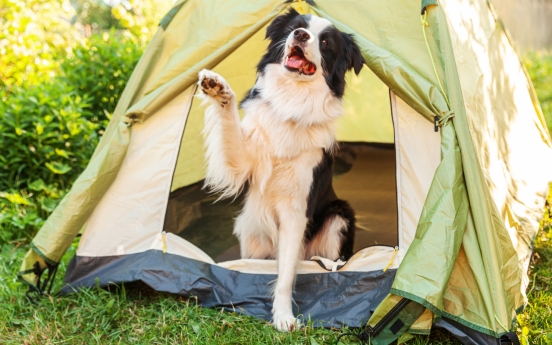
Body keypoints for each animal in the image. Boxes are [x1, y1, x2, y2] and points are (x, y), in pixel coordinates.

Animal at [197, 8, 362, 330]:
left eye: (326, 42)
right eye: (296, 27)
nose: (300, 36)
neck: (293, 98)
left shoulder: (296, 208)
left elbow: (286, 273)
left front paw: (284, 316)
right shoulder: (243, 161)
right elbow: (230, 124)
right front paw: (218, 87)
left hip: (338, 216)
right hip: (251, 231)